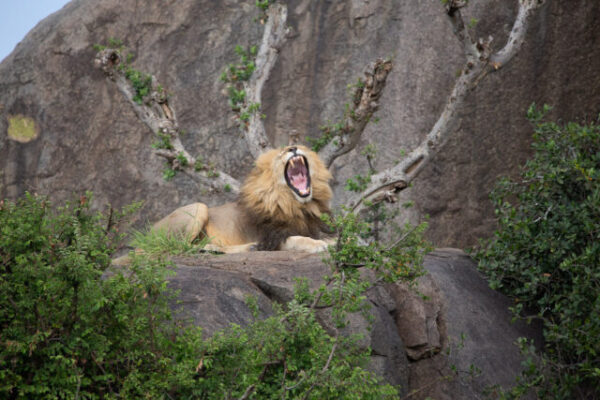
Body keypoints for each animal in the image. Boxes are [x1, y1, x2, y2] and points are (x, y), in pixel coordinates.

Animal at [152, 145, 332, 253]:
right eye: (280, 154)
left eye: (299, 146)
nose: (293, 148)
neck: (296, 204)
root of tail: (150, 231)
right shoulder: (270, 238)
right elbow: (298, 239)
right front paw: (318, 245)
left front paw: (330, 241)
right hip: (199, 207)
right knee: (178, 246)